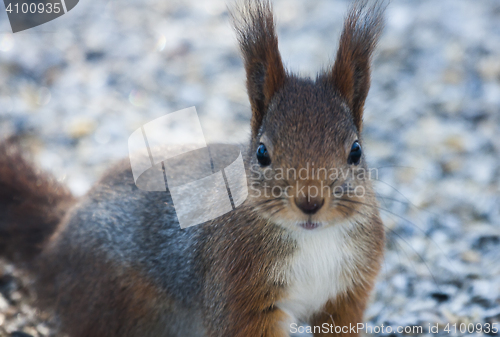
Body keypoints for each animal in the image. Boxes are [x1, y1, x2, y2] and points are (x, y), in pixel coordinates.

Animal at [0, 0, 384, 336]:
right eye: (262, 153)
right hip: (107, 305)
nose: (310, 202)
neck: (314, 240)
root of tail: (57, 234)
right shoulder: (235, 288)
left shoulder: (347, 295)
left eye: (356, 151)